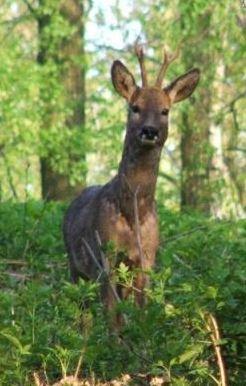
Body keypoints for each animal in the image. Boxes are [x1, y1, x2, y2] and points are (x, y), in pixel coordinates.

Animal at [63, 44, 200, 310]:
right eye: (134, 107)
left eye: (165, 110)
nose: (150, 131)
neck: (134, 211)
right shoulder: (105, 253)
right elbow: (112, 311)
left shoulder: (147, 256)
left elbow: (141, 309)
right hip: (75, 266)